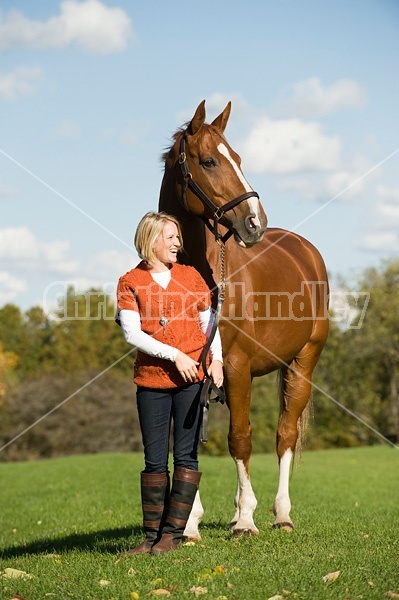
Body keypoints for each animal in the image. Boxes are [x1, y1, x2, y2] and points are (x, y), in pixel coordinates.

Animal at [158, 101, 330, 536]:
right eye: (209, 160)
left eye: (238, 158)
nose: (255, 222)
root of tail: (304, 249)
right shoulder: (185, 371)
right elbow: (182, 442)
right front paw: (189, 525)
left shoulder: (235, 367)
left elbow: (239, 438)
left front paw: (247, 520)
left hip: (302, 363)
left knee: (284, 435)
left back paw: (279, 514)